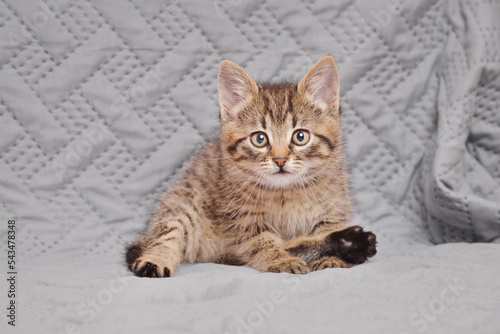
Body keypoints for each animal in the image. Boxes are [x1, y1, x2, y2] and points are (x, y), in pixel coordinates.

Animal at [125, 56, 376, 278]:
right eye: (260, 139)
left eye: (300, 136)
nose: (280, 160)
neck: (287, 193)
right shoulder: (242, 218)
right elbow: (262, 243)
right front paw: (280, 260)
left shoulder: (334, 208)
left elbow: (321, 229)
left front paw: (334, 259)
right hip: (185, 202)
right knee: (167, 233)